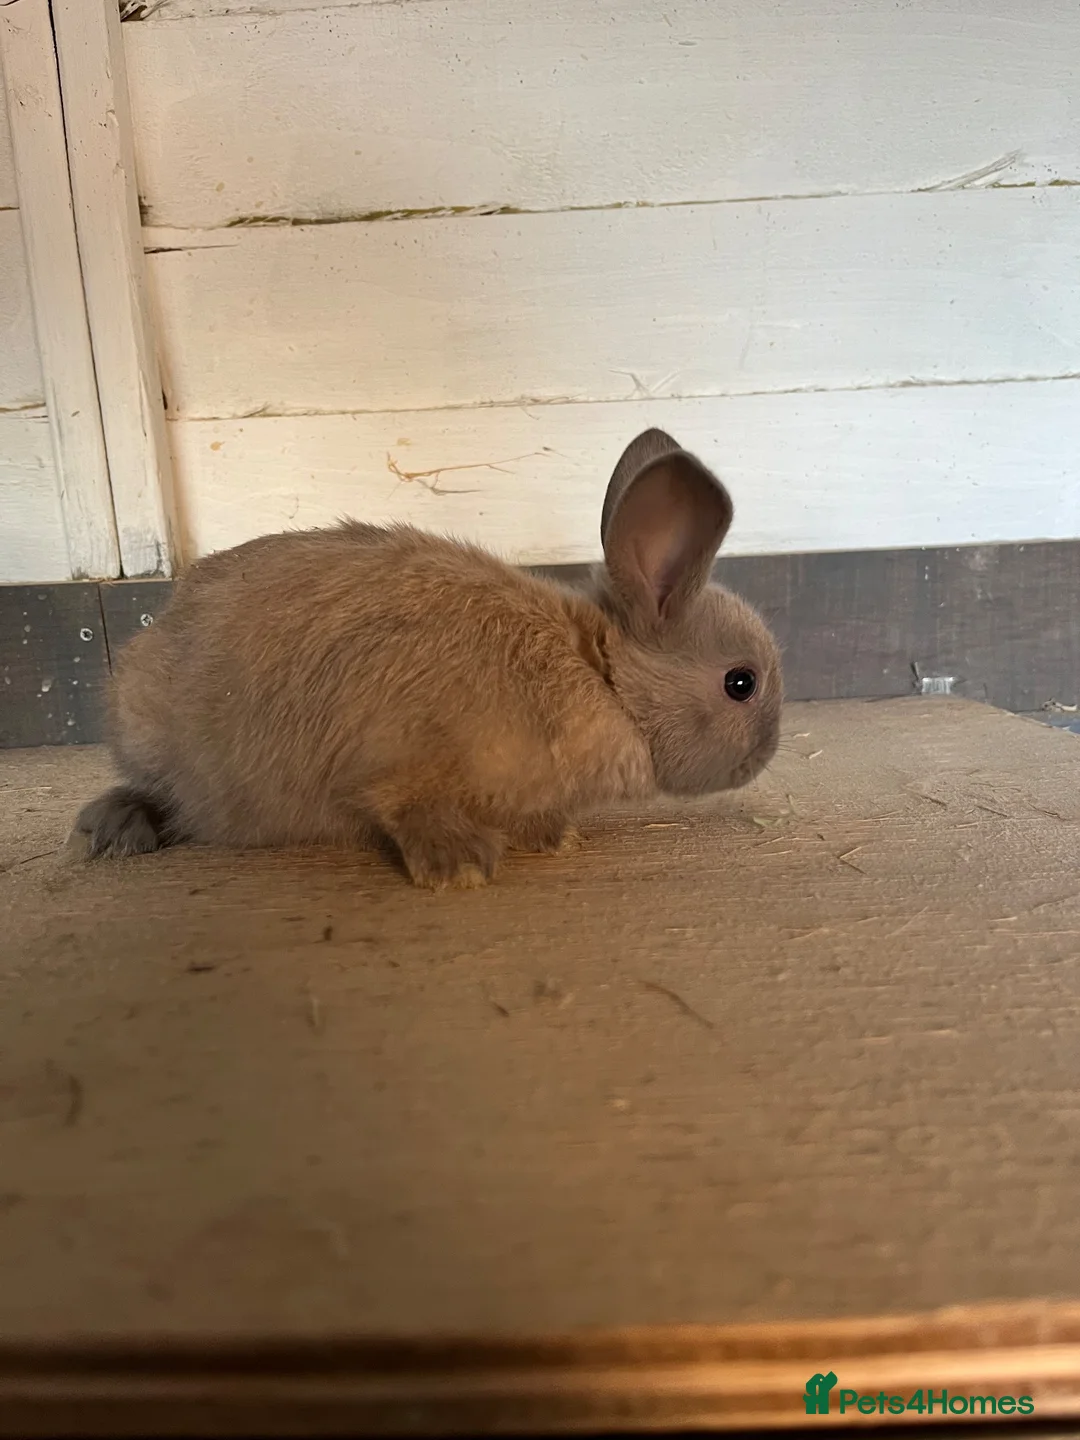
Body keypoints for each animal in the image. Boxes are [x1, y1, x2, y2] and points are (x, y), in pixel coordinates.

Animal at [74, 429, 782, 889]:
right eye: (740, 683)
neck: (602, 682)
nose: (764, 757)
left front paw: (552, 837)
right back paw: (111, 832)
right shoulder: (397, 757)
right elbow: (404, 805)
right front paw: (459, 866)